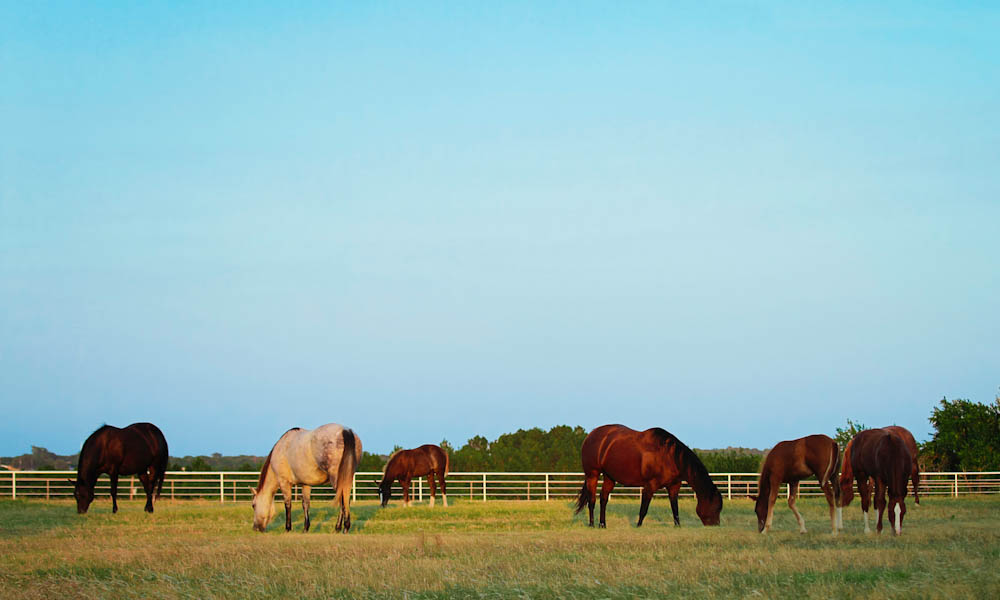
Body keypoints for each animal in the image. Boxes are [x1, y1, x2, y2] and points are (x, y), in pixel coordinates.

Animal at [574, 424, 723, 528]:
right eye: (716, 507)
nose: (715, 525)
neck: (669, 456)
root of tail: (591, 435)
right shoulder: (650, 486)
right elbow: (643, 509)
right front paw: (638, 526)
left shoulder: (674, 487)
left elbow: (675, 508)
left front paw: (678, 526)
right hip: (592, 474)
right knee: (592, 500)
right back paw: (592, 524)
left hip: (609, 477)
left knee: (603, 499)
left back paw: (603, 524)